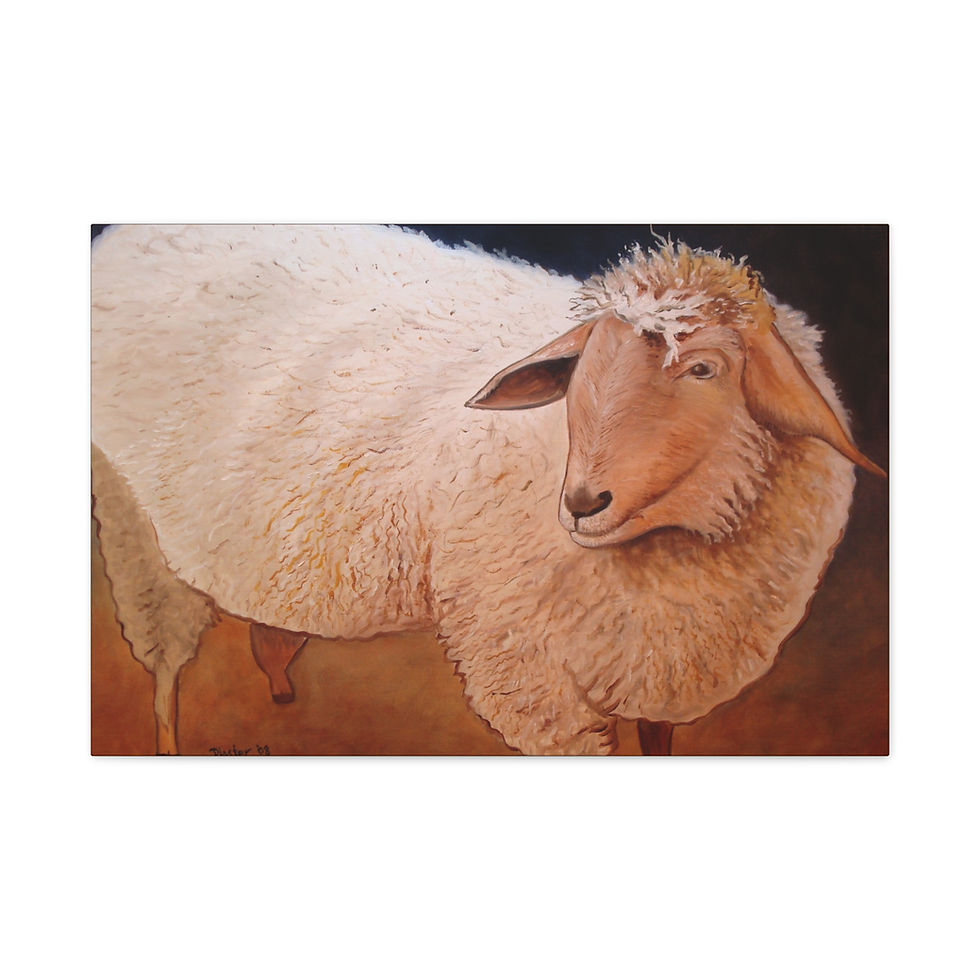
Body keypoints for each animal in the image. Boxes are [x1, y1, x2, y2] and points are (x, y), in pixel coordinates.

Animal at [90, 224, 884, 755]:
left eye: (704, 369)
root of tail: (134, 236)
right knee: (162, 667)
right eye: (586, 366)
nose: (582, 504)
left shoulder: (656, 670)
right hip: (132, 525)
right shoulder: (532, 679)